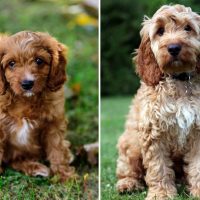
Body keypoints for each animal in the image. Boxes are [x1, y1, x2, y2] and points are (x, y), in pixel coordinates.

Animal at [0, 30, 74, 181]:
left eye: (39, 60)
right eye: (11, 63)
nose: (27, 84)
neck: (26, 100)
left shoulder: (54, 123)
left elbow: (57, 148)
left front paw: (64, 175)